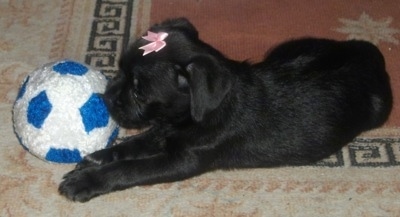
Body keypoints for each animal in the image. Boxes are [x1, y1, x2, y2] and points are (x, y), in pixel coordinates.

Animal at [57, 17, 392, 202]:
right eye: (120, 70)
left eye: (139, 91)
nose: (106, 96)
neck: (188, 117)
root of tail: (367, 51)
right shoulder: (162, 132)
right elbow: (130, 146)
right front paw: (96, 158)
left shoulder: (182, 160)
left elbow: (131, 168)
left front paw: (87, 181)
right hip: (287, 49)